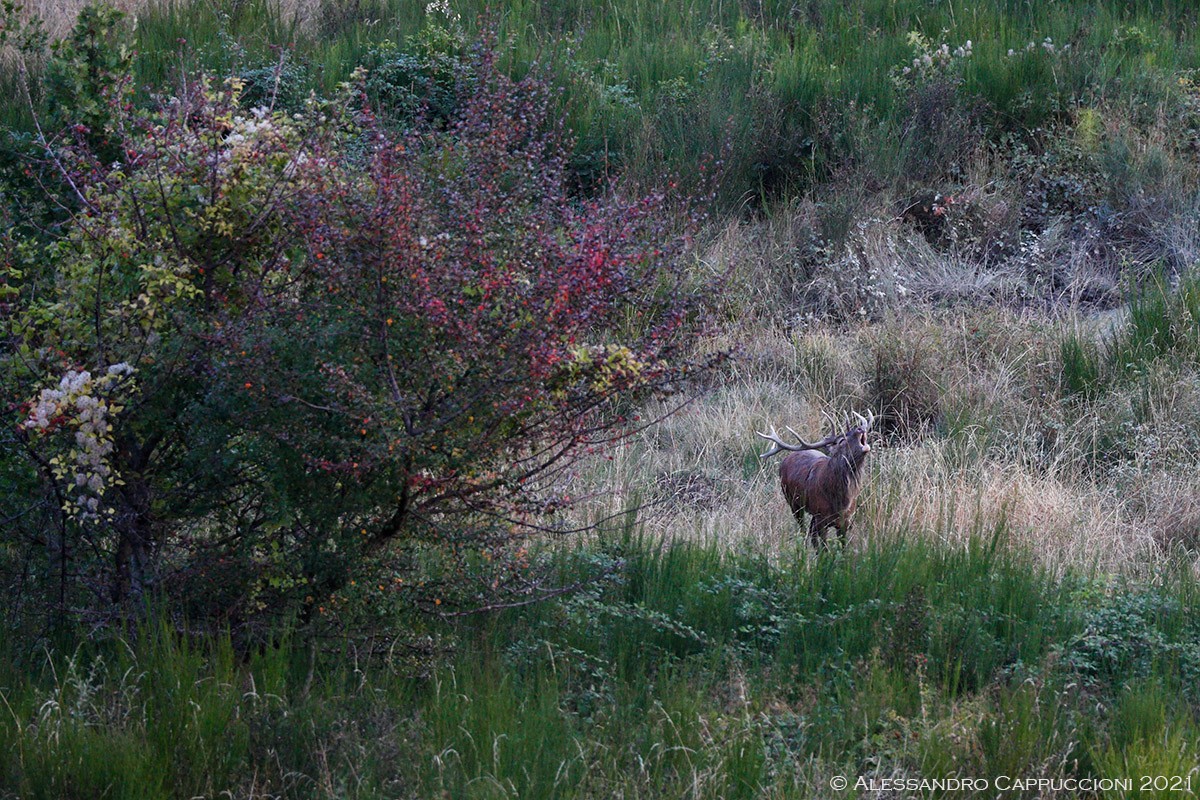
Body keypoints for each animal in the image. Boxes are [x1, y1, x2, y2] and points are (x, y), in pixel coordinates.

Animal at [756, 410, 875, 547]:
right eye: (841, 441)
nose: (860, 428)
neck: (840, 502)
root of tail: (787, 457)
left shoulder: (846, 520)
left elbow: (842, 547)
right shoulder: (821, 517)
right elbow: (823, 546)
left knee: (810, 531)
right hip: (793, 501)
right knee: (803, 529)